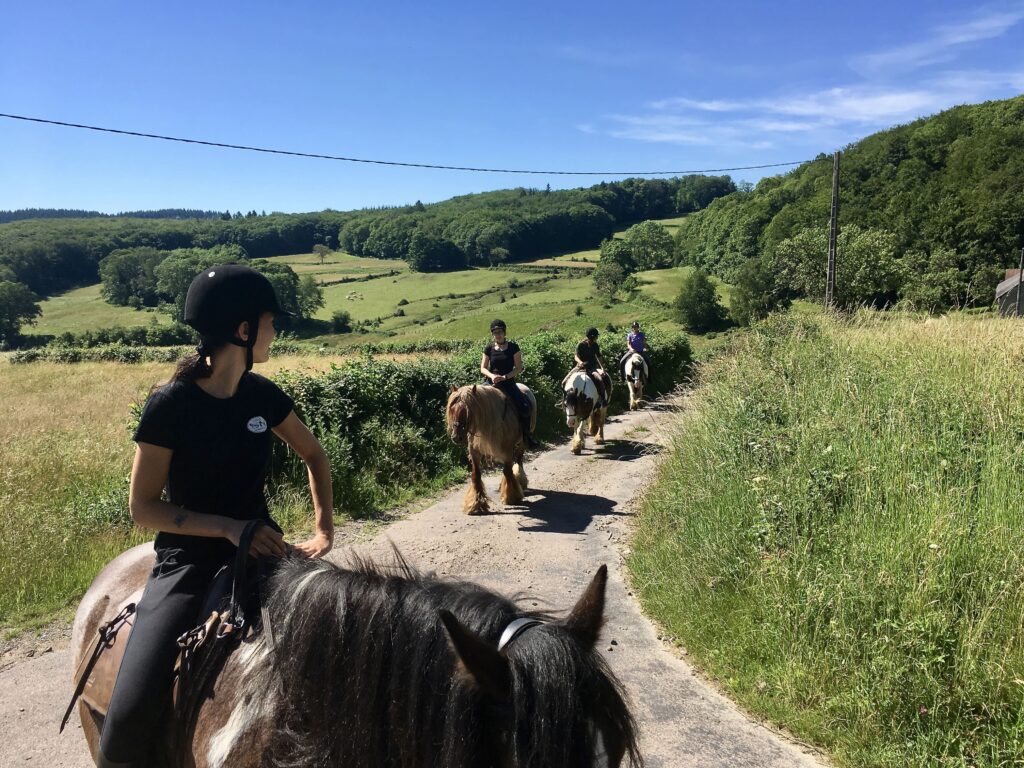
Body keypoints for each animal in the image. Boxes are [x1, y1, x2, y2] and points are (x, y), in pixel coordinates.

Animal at [444, 385, 536, 518]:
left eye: (467, 411)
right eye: (452, 409)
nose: (456, 437)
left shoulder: (507, 451)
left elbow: (507, 472)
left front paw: (512, 497)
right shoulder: (474, 451)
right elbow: (476, 475)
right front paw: (476, 503)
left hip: (521, 443)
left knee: (519, 461)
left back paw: (520, 481)